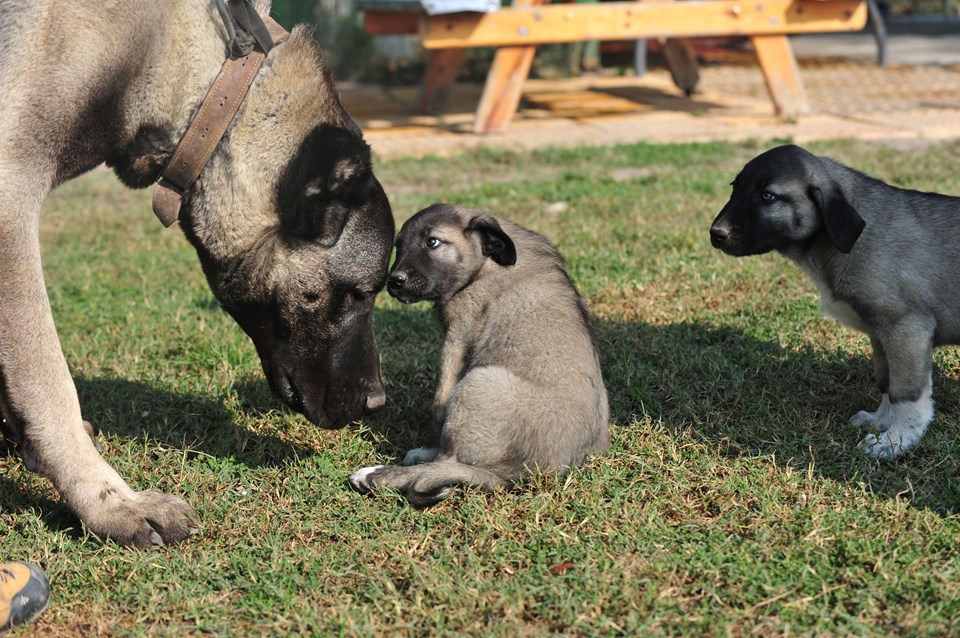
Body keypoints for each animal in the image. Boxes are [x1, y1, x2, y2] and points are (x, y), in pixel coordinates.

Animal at [350, 206, 608, 510]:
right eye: (398, 246)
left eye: (433, 242)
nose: (394, 281)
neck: (486, 264)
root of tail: (516, 475)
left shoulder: (457, 337)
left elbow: (439, 404)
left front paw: (427, 447)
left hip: (480, 382)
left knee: (445, 463)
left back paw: (376, 475)